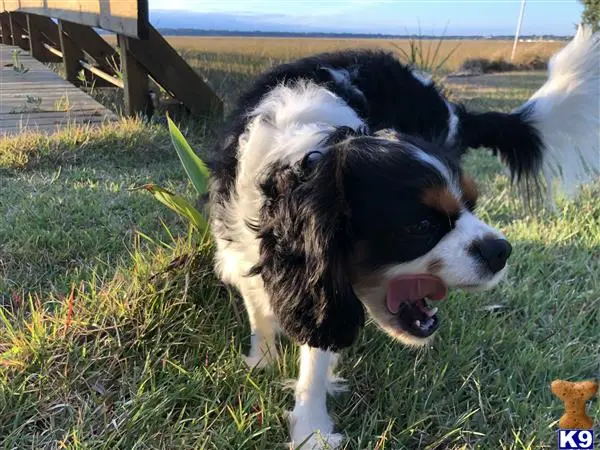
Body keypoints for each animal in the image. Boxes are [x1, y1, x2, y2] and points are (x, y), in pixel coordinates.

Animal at [209, 26, 596, 448]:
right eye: (420, 227)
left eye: (472, 203)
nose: (501, 251)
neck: (304, 156)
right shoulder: (241, 250)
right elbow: (260, 313)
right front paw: (264, 360)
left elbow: (316, 352)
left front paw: (311, 427)